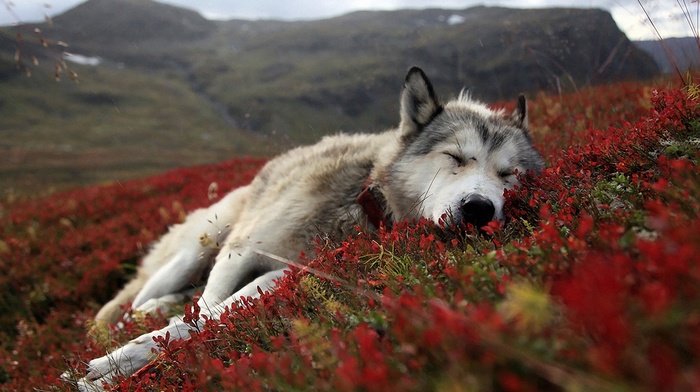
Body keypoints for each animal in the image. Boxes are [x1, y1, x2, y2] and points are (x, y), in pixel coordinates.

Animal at [72, 67, 540, 388]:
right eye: (455, 157)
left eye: (509, 175)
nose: (479, 209)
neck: (362, 201)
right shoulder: (240, 251)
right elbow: (202, 312)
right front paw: (116, 364)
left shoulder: (287, 273)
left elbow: (207, 318)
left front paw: (118, 369)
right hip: (201, 246)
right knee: (126, 306)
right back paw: (132, 318)